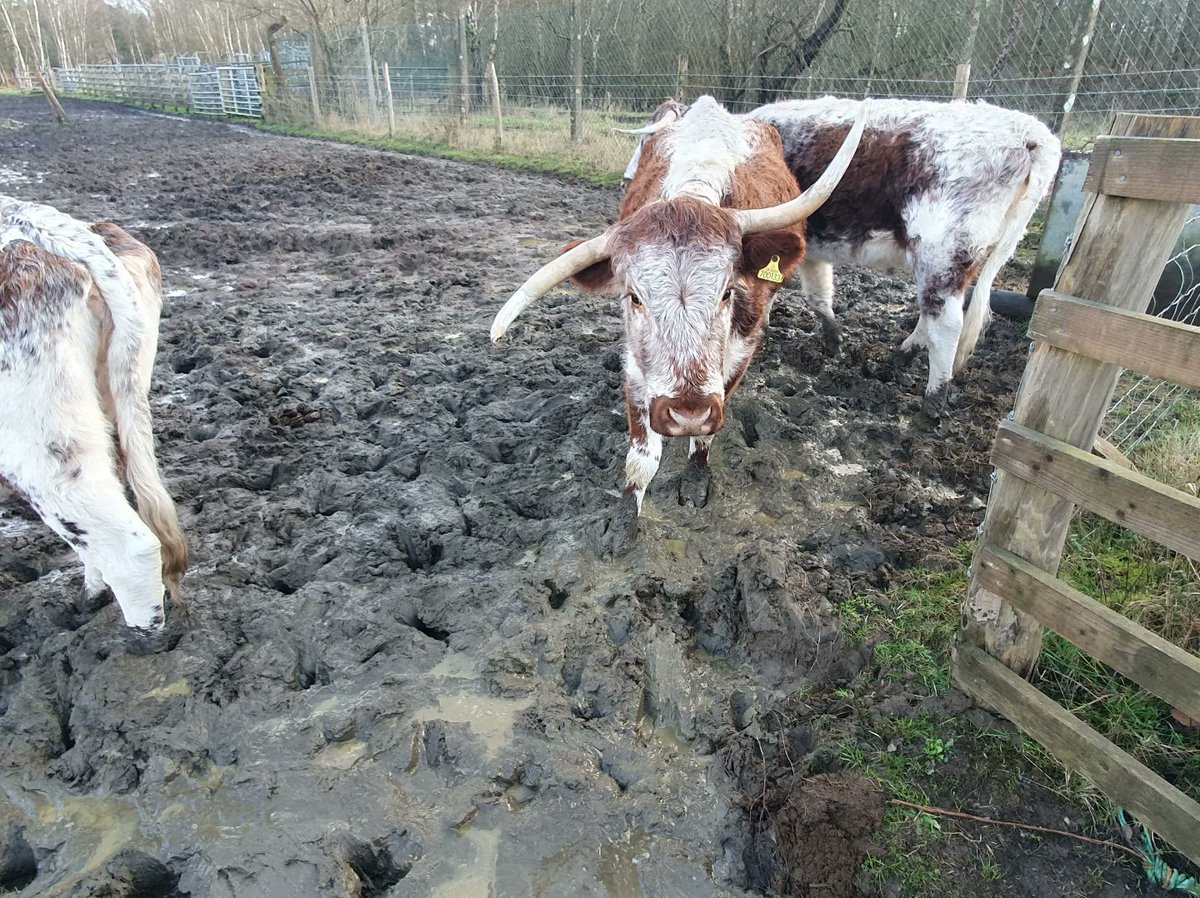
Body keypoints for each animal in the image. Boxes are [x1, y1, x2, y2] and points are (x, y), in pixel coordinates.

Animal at [491, 95, 869, 542]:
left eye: (727, 292)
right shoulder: (636, 365)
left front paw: (695, 480)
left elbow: (707, 435)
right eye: (634, 297)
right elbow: (640, 457)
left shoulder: (740, 352)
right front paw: (624, 519)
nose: (688, 413)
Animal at [623, 96, 1062, 417]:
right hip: (959, 262)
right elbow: (821, 296)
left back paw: (933, 400)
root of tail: (1031, 133)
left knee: (947, 323)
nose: (628, 176)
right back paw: (899, 357)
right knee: (933, 313)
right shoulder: (811, 250)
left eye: (647, 141)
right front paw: (833, 344)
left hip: (943, 252)